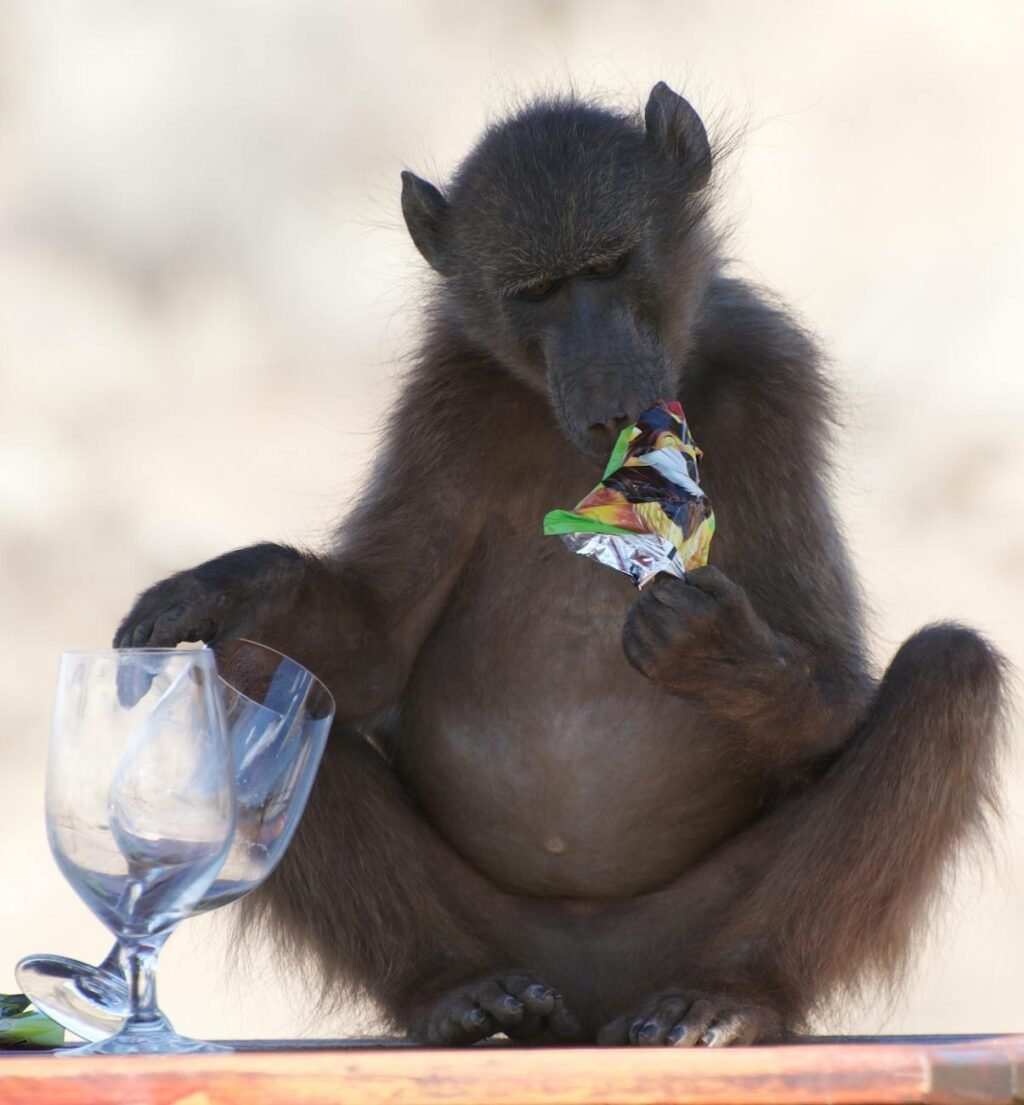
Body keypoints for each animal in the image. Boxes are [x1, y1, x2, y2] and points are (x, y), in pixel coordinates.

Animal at [114, 82, 1006, 1047]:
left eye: (611, 266)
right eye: (538, 292)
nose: (610, 395)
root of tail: (594, 997)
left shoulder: (776, 380)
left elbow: (837, 696)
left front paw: (716, 650)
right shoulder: (449, 392)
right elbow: (373, 644)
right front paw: (221, 587)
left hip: (683, 927)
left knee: (951, 674)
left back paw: (729, 995)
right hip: (507, 930)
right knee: (255, 669)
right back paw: (458, 993)